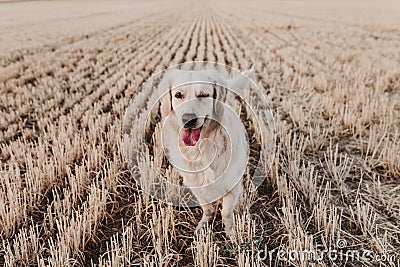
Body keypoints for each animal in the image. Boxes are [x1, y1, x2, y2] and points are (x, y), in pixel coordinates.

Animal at [159, 68, 253, 238]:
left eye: (203, 95)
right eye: (178, 95)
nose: (188, 119)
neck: (201, 149)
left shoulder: (232, 184)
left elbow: (226, 212)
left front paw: (231, 232)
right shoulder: (195, 184)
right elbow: (208, 208)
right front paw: (204, 225)